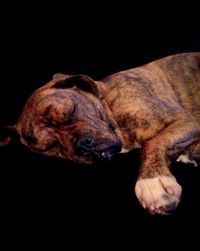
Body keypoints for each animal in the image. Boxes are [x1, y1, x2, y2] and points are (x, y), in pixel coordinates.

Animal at [0, 52, 200, 214]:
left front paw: (152, 181)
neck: (109, 104)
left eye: (72, 110)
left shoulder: (183, 120)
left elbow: (153, 143)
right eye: (53, 147)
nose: (82, 144)